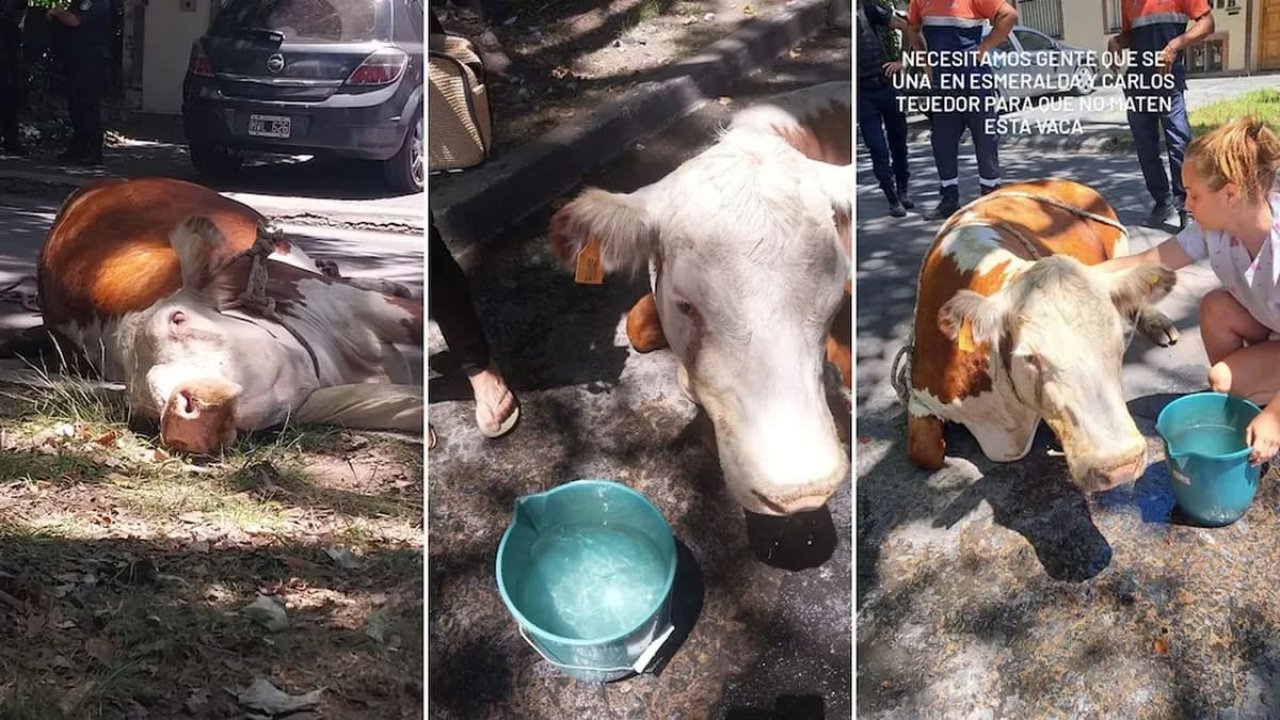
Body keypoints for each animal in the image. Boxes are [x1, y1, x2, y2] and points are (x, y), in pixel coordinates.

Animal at [901, 176, 1177, 489]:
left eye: (1118, 345)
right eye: (1030, 358)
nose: (1121, 465)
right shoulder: (920, 397)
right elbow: (925, 453)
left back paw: (1158, 324)